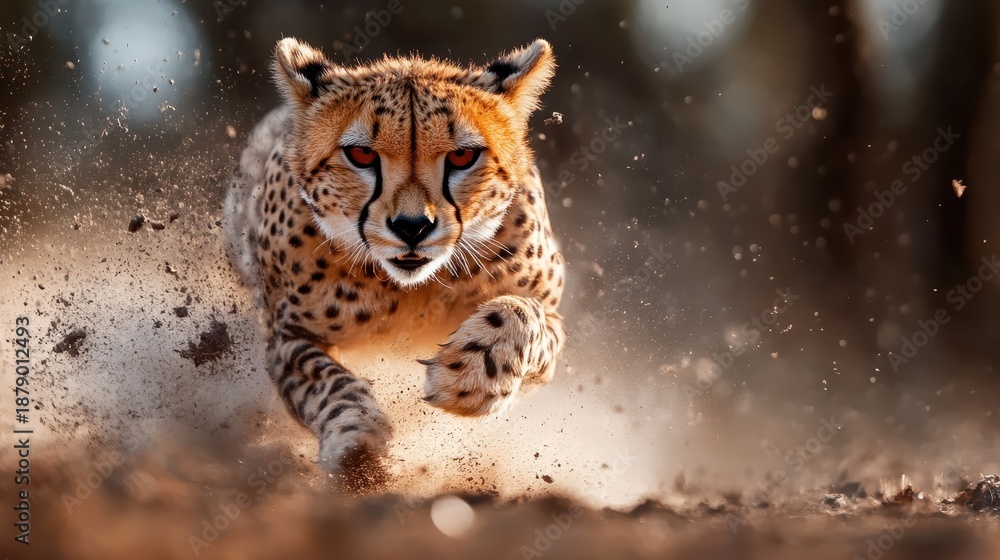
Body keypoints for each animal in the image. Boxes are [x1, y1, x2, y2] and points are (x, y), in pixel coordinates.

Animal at [224, 37, 566, 474]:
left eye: (461, 157)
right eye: (361, 156)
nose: (412, 227)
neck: (411, 289)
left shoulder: (550, 312)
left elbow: (521, 313)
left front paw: (472, 373)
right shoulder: (286, 333)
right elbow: (330, 382)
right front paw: (358, 446)